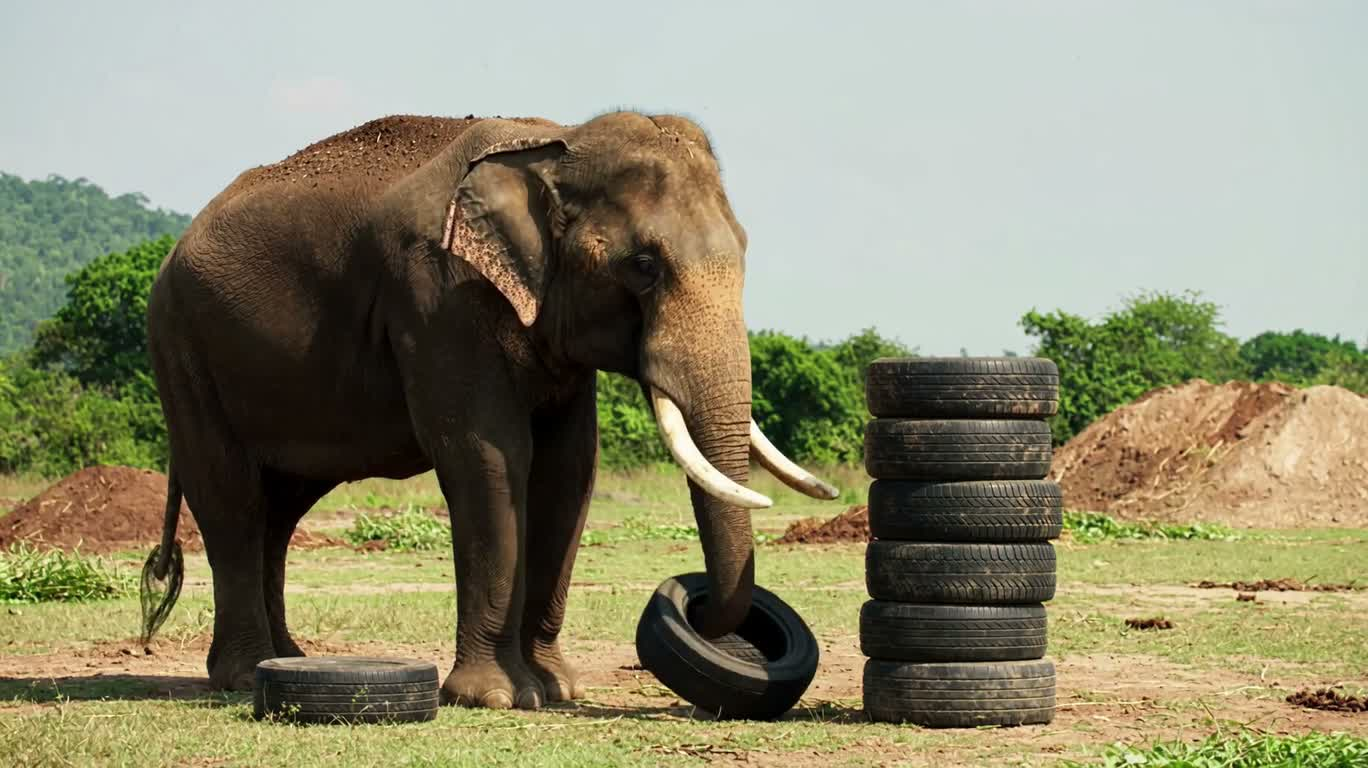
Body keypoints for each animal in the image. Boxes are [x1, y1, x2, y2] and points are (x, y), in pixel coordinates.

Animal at [139, 110, 839, 710]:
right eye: (643, 265)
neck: (556, 142)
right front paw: (497, 697)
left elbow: (569, 469)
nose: (715, 623)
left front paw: (559, 690)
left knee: (281, 509)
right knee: (231, 496)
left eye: (744, 248)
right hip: (180, 348)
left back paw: (285, 660)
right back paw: (240, 676)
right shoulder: (439, 294)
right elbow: (490, 455)